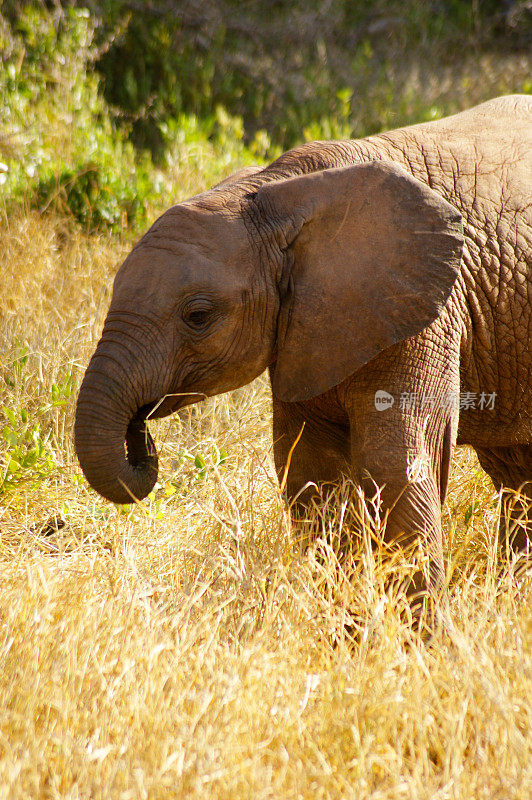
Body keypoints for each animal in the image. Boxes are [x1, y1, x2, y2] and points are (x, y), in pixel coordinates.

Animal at [76, 95, 532, 620]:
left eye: (198, 316)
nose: (141, 434)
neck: (276, 192)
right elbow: (309, 474)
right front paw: (346, 628)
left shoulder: (429, 312)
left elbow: (393, 467)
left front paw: (418, 635)